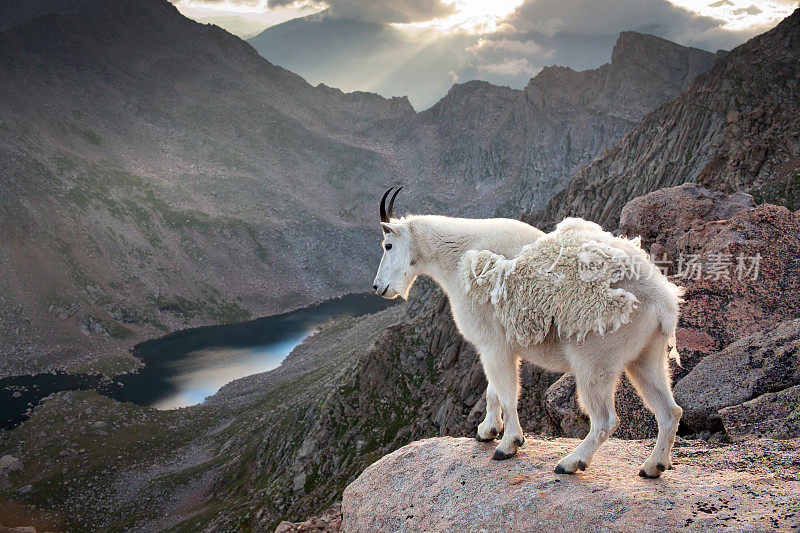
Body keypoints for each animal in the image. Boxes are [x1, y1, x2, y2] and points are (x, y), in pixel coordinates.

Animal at [370, 188, 680, 478]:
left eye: (388, 245)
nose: (378, 288)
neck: (457, 256)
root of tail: (664, 302)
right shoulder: (500, 348)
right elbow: (493, 389)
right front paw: (487, 431)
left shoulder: (492, 344)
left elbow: (507, 393)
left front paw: (508, 444)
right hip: (646, 356)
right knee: (669, 411)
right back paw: (654, 466)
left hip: (595, 361)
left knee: (606, 420)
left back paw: (571, 462)